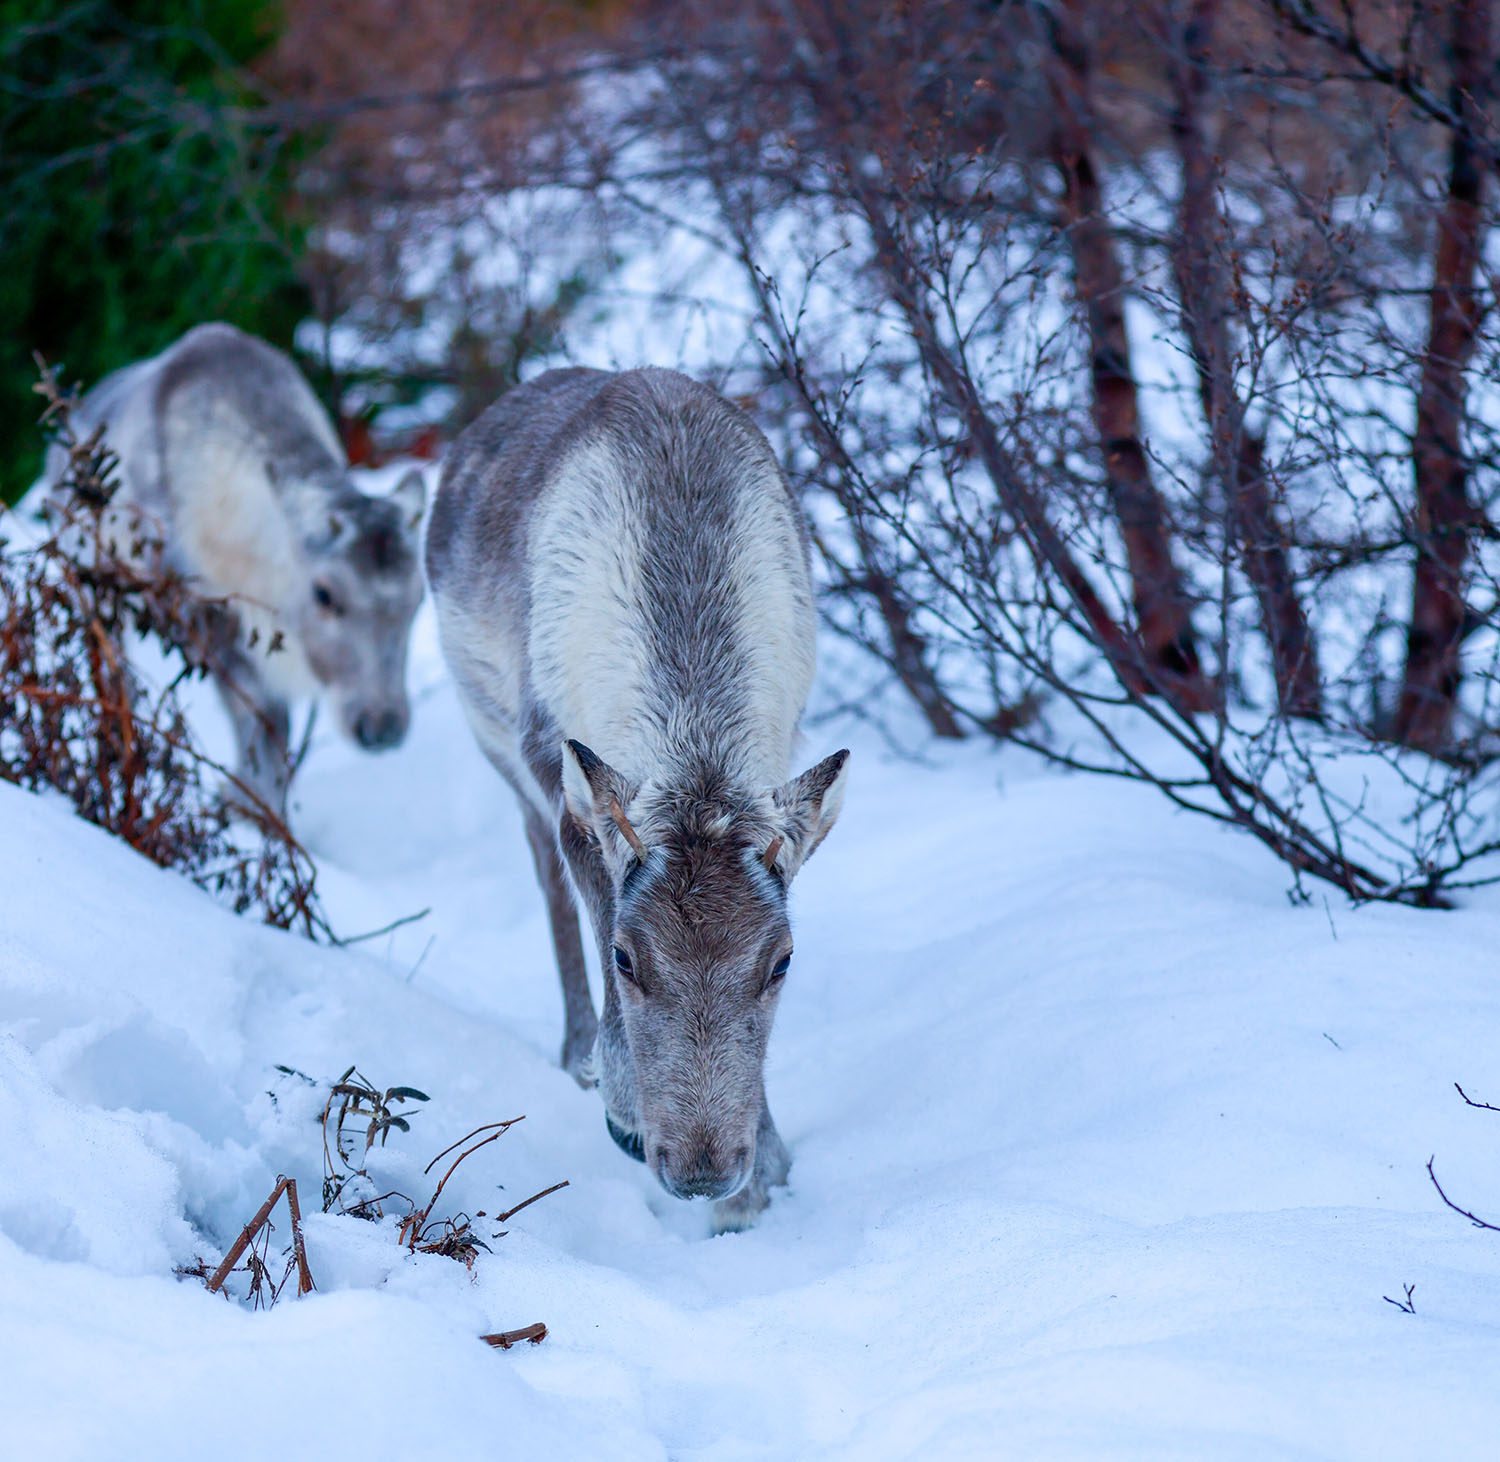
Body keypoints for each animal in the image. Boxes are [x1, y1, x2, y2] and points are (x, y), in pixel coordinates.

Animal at [49, 320, 426, 803]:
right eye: (324, 593)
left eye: (418, 599)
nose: (381, 728)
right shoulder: (195, 611)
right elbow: (265, 727)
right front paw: (245, 803)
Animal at [429, 368, 852, 1235]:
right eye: (628, 958)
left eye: (783, 961)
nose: (701, 1173)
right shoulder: (555, 764)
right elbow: (590, 903)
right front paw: (625, 1109)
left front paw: (760, 1180)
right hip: (491, 741)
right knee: (546, 883)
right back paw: (572, 1056)